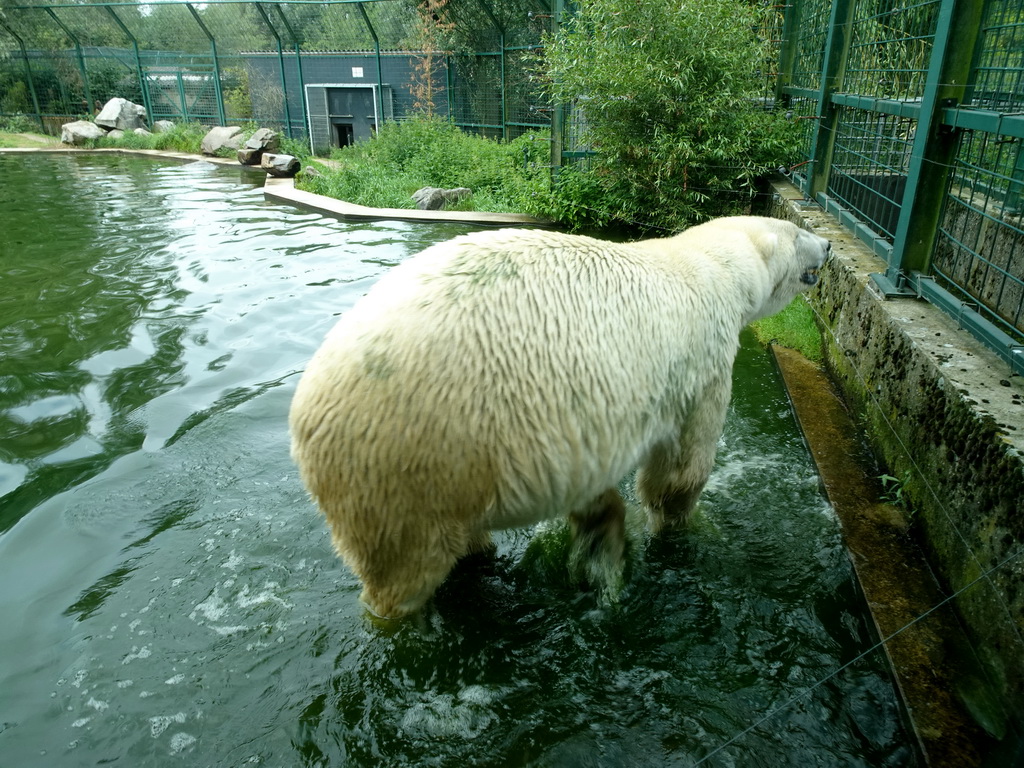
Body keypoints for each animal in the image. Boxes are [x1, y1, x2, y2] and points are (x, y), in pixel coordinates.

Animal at [286, 217, 823, 618]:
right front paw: (684, 528)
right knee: (402, 572)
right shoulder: (702, 362)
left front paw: (602, 536)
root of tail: (305, 416)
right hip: (408, 460)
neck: (707, 264)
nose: (829, 247)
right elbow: (680, 470)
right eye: (800, 232)